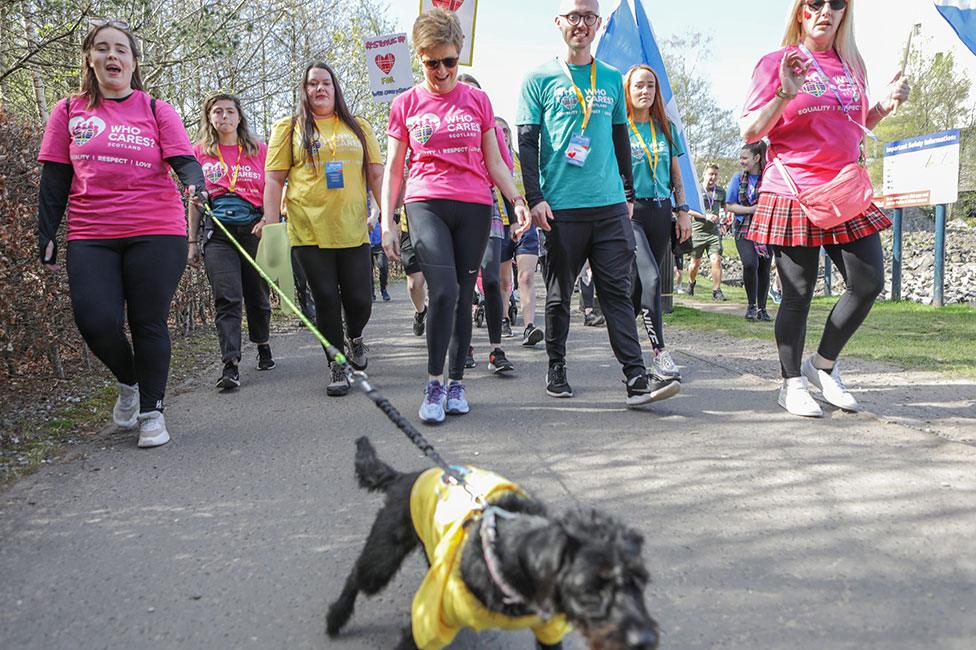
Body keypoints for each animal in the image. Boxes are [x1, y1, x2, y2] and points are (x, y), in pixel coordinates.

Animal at [324, 436, 660, 648]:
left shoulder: (549, 629)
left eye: (642, 581)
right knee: (357, 575)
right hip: (382, 558)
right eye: (590, 589)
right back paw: (335, 617)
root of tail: (404, 476)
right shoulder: (426, 624)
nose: (646, 640)